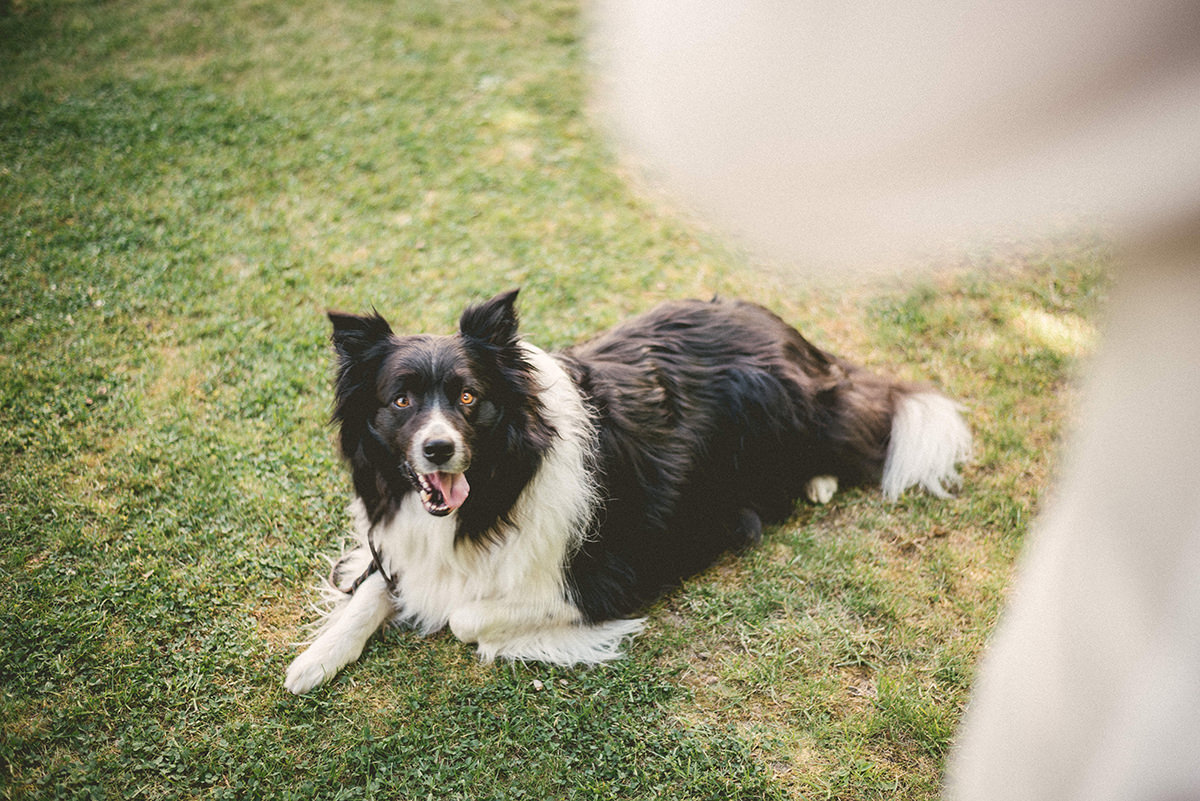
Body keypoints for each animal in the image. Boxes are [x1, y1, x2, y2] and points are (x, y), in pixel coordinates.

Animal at [285, 288, 969, 695]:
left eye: (469, 398)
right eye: (400, 401)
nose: (437, 449)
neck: (499, 485)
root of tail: (792, 336)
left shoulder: (603, 578)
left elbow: (463, 617)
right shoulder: (408, 541)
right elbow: (377, 588)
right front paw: (318, 656)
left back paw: (818, 479)